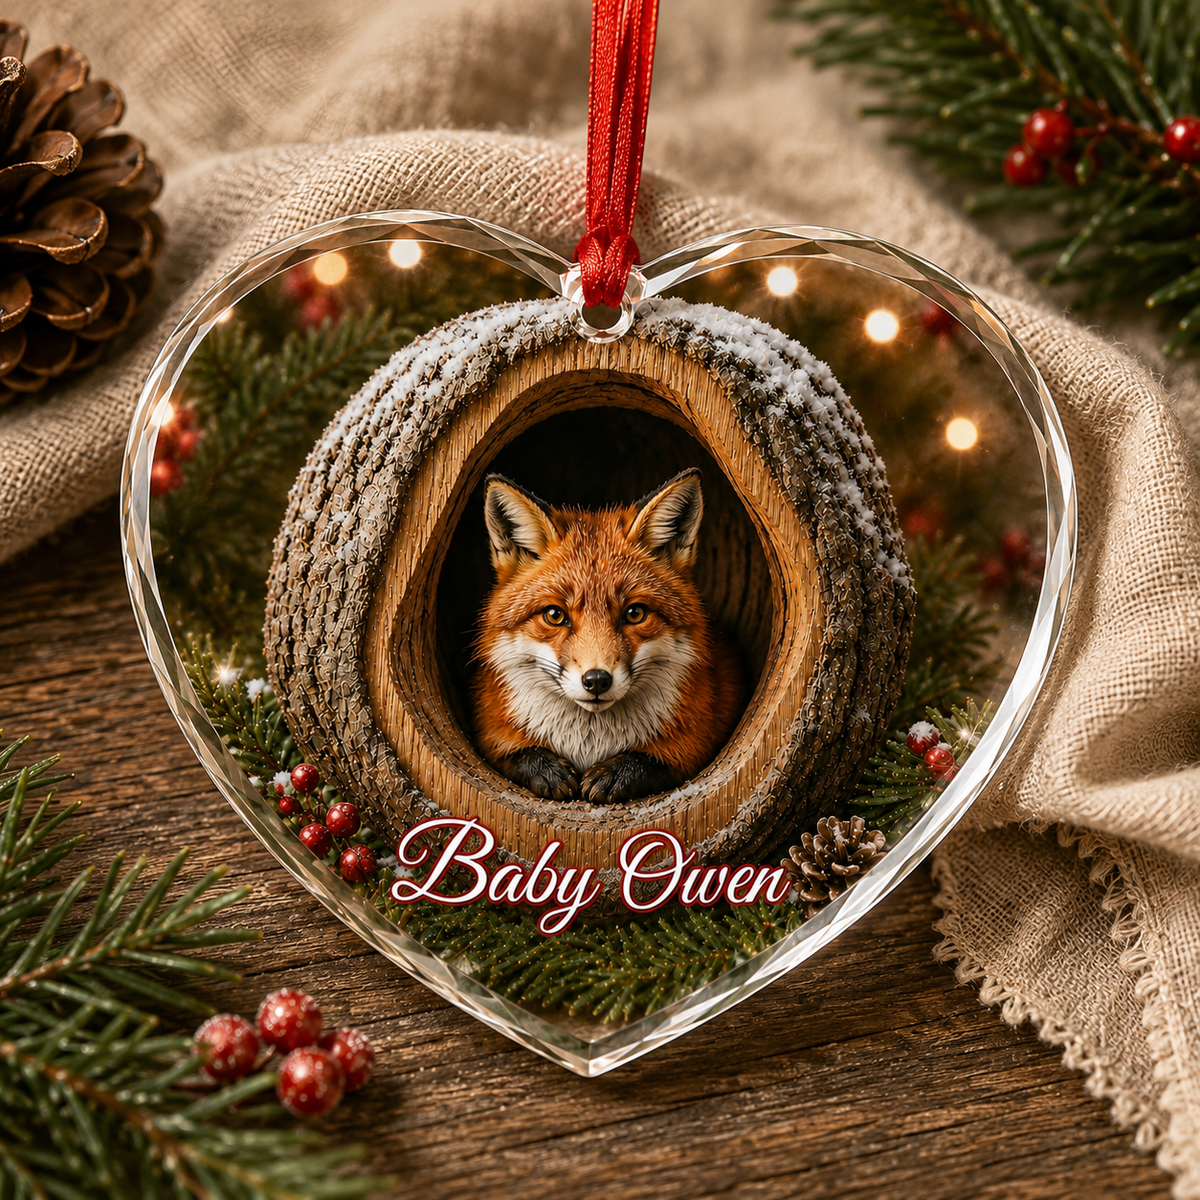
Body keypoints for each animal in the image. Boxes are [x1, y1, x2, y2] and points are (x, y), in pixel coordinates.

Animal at [471, 468, 745, 805]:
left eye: (634, 613)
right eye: (554, 615)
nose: (597, 680)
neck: (590, 745)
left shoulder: (697, 743)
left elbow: (657, 762)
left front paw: (618, 773)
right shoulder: (490, 732)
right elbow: (513, 755)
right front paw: (546, 771)